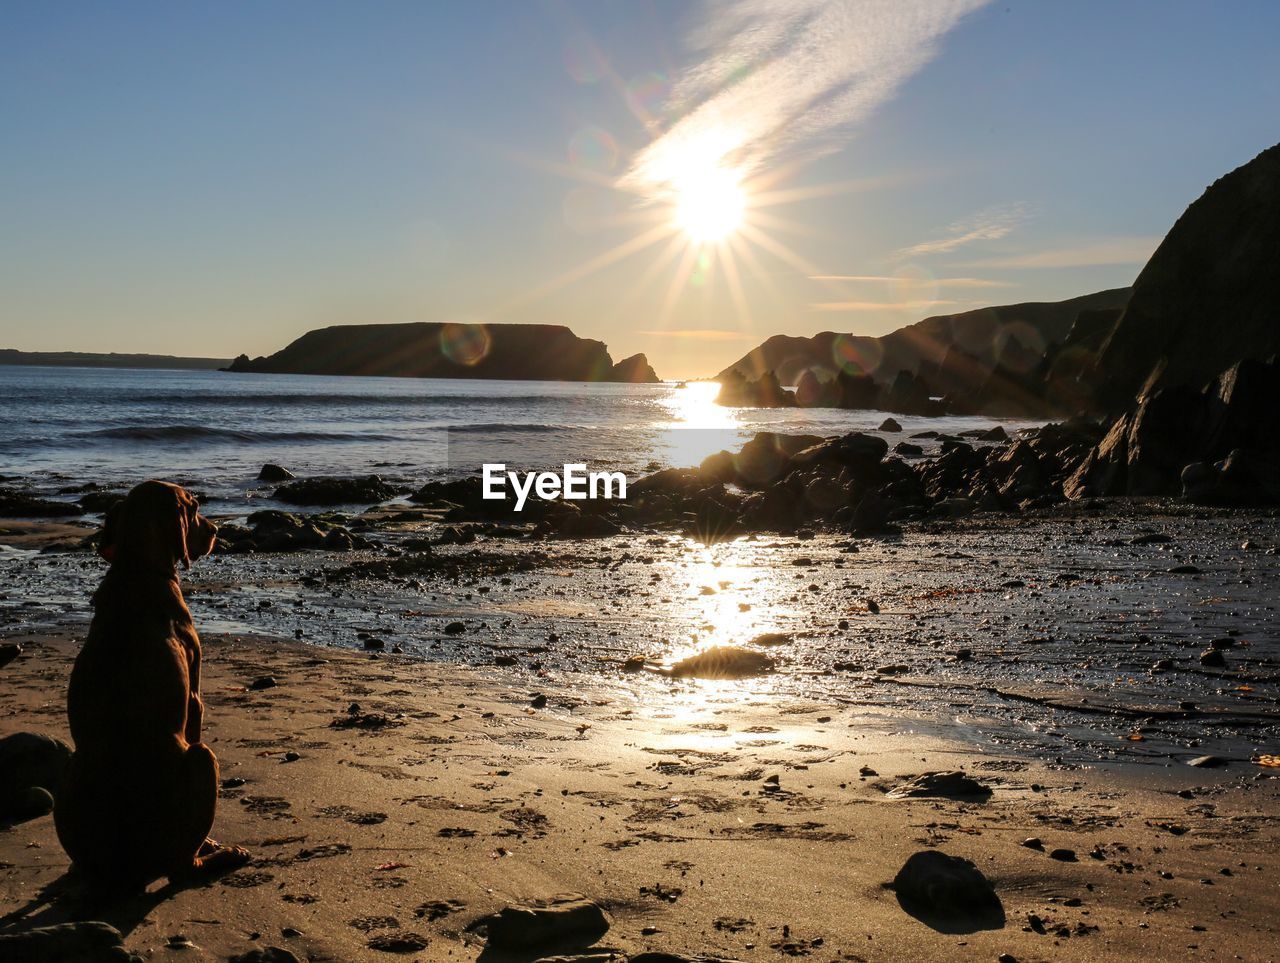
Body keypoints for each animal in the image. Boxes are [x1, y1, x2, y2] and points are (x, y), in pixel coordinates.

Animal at [52, 481, 248, 886]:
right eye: (195, 507)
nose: (216, 531)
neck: (137, 569)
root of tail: (124, 868)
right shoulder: (195, 698)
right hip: (203, 758)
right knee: (183, 868)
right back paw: (222, 854)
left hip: (68, 769)